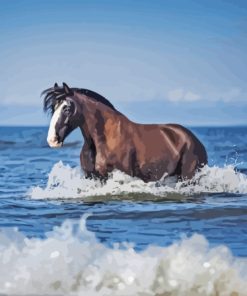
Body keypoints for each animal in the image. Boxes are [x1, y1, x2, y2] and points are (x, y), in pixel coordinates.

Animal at [42, 82, 206, 182]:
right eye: (53, 108)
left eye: (67, 108)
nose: (52, 140)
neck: (104, 139)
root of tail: (194, 140)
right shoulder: (93, 176)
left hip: (188, 177)